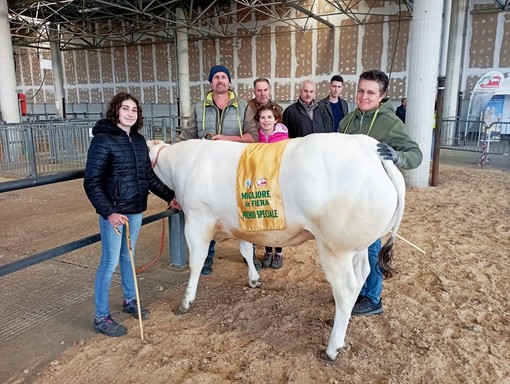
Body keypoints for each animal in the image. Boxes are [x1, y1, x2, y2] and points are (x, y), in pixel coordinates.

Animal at [148, 133, 406, 360]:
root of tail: (371, 147)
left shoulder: (197, 218)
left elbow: (196, 262)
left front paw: (186, 301)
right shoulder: (241, 221)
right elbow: (245, 250)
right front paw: (254, 279)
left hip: (334, 248)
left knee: (346, 288)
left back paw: (332, 348)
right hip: (355, 244)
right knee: (363, 273)